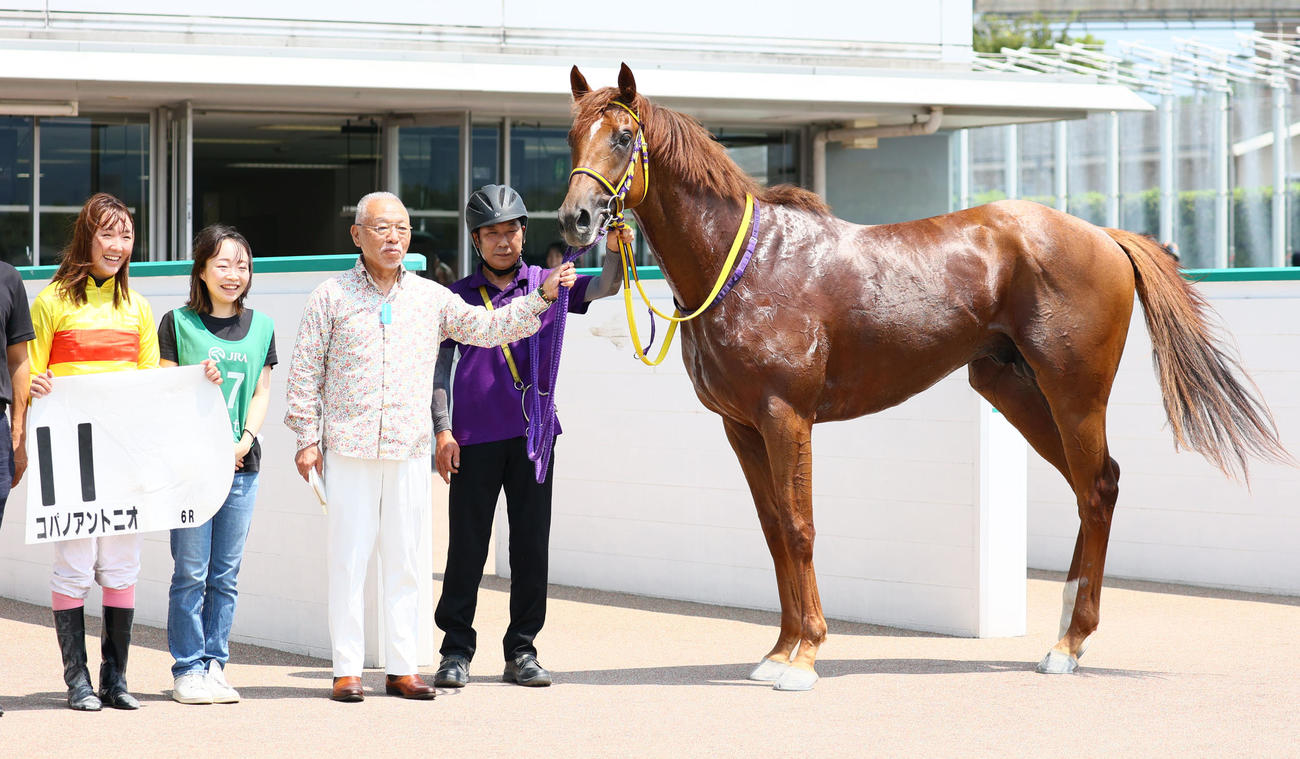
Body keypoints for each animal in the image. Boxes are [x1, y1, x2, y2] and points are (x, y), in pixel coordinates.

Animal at [558, 64, 1292, 691]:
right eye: (572, 135)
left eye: (622, 136)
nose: (574, 219)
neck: (748, 264)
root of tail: (1104, 236)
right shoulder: (740, 427)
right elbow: (772, 532)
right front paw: (777, 651)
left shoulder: (785, 417)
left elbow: (799, 527)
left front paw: (806, 656)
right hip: (1013, 390)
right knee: (1091, 487)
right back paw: (1064, 632)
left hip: (1075, 393)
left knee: (1098, 487)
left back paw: (1068, 645)